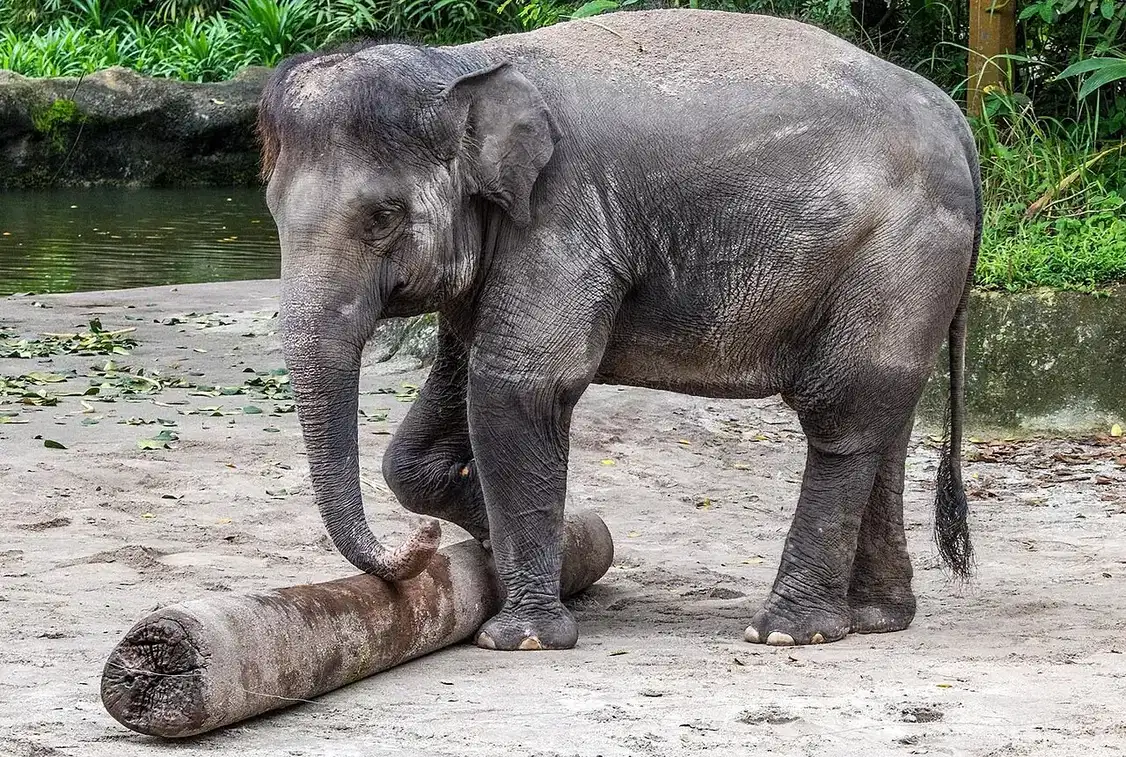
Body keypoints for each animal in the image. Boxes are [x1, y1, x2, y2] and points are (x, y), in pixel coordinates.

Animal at [258, 8, 979, 651]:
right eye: (271, 210)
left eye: (381, 216)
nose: (421, 543)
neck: (462, 65)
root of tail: (956, 118)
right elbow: (430, 426)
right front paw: (531, 544)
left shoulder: (561, 221)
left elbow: (518, 388)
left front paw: (523, 640)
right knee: (886, 421)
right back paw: (877, 618)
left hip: (895, 254)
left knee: (841, 415)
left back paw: (786, 631)